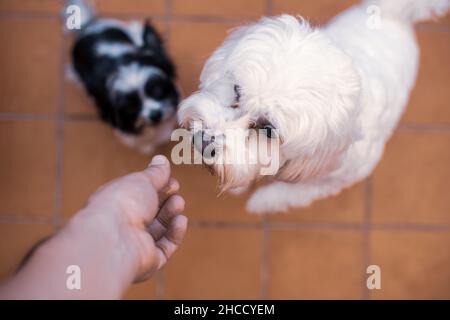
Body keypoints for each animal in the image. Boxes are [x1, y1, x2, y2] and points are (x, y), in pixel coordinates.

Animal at [178, 0, 448, 215]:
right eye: (236, 90)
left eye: (268, 130)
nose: (203, 141)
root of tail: (394, 14)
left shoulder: (333, 178)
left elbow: (293, 192)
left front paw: (263, 200)